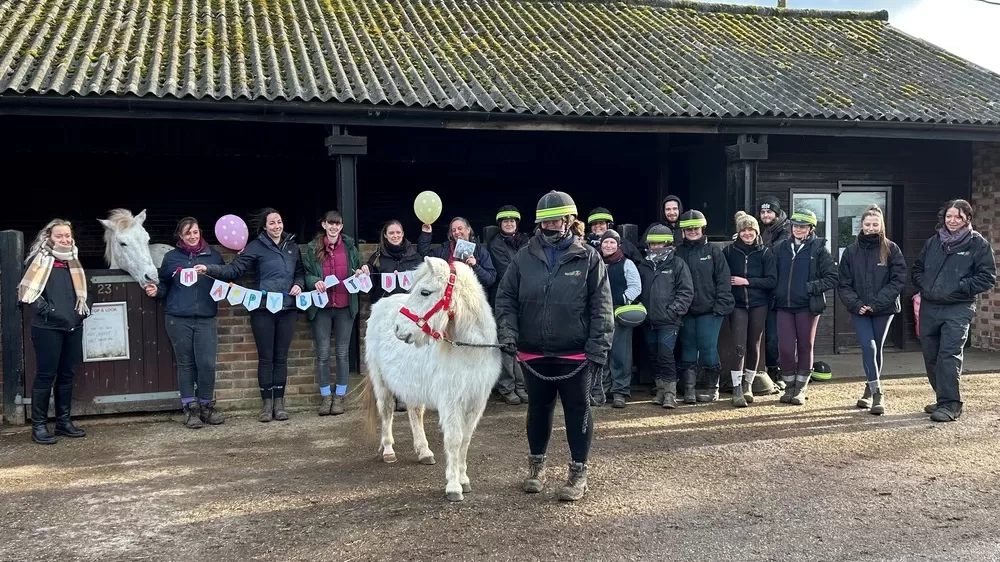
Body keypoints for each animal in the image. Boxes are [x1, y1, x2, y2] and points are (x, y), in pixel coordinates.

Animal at [360, 256, 500, 500]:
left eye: (425, 292)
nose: (398, 328)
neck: (469, 350)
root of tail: (379, 305)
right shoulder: (451, 402)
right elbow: (454, 440)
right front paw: (453, 486)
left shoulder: (476, 402)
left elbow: (465, 439)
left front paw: (464, 479)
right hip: (381, 381)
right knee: (386, 410)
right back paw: (388, 451)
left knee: (415, 412)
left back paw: (424, 452)